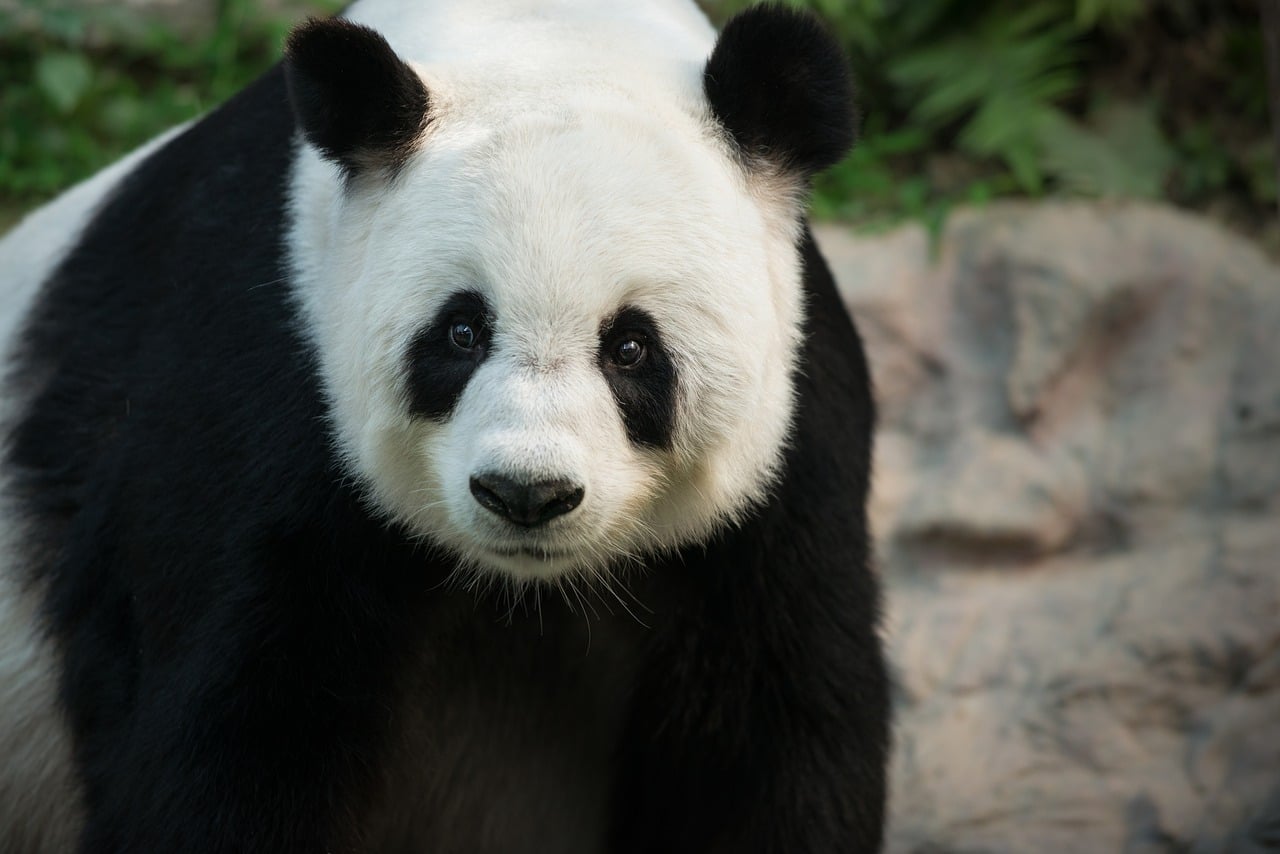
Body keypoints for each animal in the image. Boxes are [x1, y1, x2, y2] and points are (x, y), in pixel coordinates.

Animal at [0, 0, 888, 851]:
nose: (527, 494)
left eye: (631, 347)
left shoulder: (791, 447)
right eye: (462, 332)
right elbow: (233, 727)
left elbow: (771, 734)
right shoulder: (258, 371)